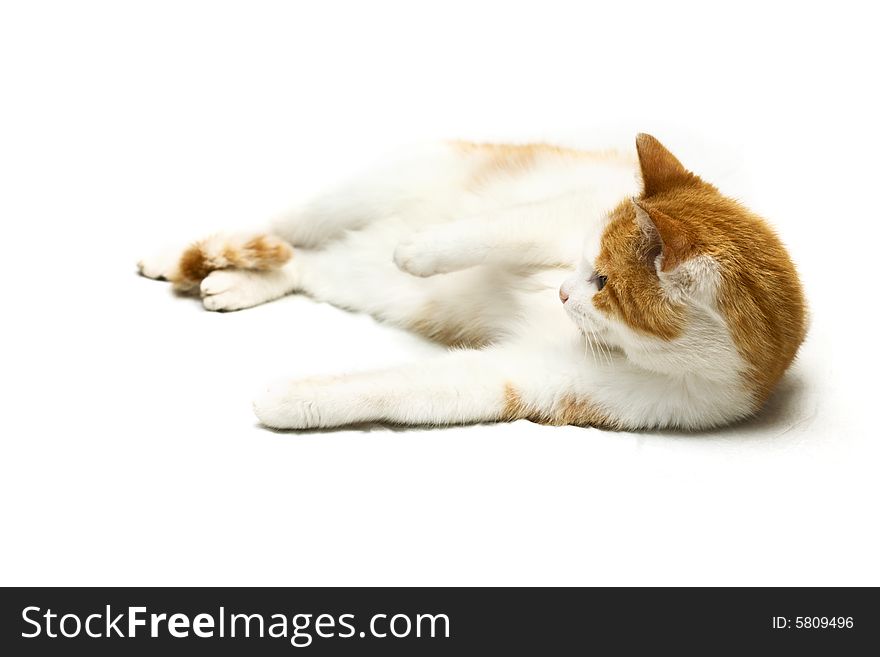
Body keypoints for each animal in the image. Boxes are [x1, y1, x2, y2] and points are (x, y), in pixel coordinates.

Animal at [138, 133, 804, 430]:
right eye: (585, 268)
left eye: (602, 285)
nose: (562, 292)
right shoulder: (560, 214)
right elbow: (497, 230)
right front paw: (421, 250)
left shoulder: (543, 384)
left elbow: (409, 388)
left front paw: (294, 399)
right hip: (352, 195)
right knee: (280, 228)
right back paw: (175, 255)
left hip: (357, 278)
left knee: (304, 266)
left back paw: (240, 283)